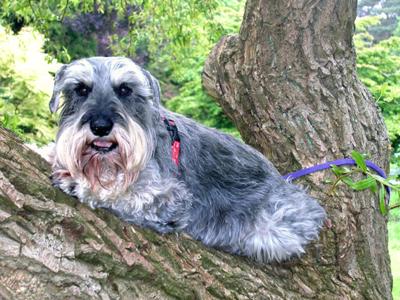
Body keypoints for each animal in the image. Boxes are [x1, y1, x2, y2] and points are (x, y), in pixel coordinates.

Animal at [50, 56, 324, 262]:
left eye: (125, 89)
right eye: (81, 89)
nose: (100, 126)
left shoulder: (169, 197)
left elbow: (124, 195)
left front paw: (79, 183)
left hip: (276, 225)